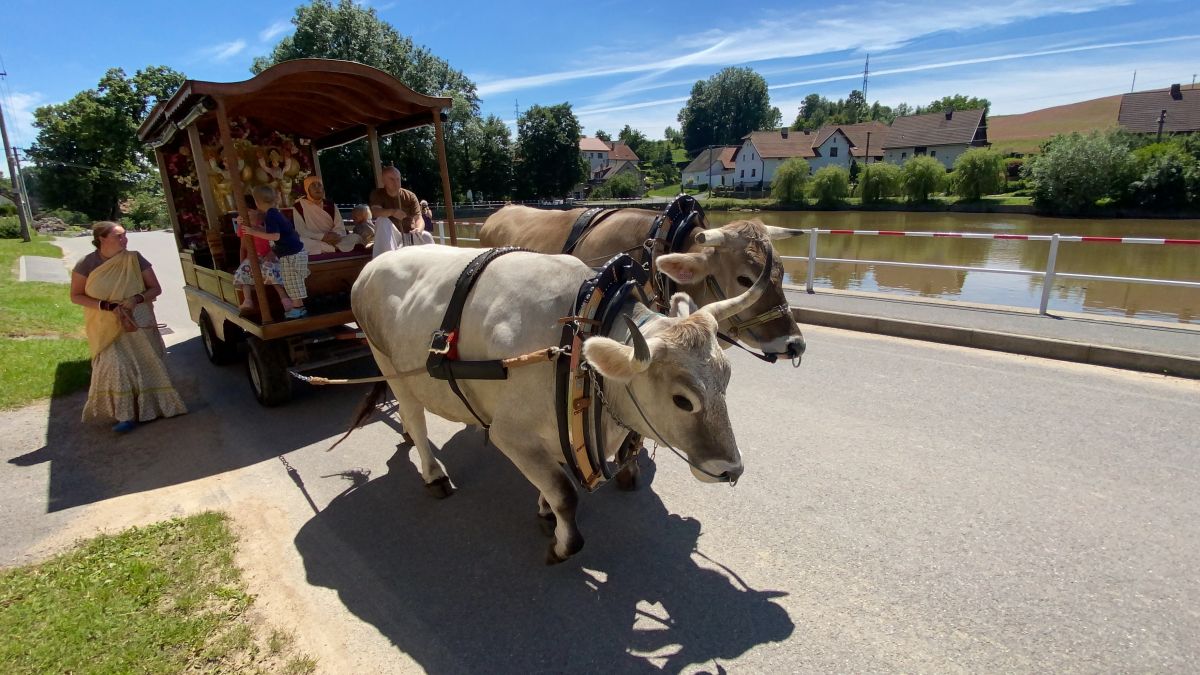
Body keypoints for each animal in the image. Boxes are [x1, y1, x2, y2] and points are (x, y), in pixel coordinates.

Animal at [351, 245, 772, 563]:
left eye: (727, 377)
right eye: (682, 400)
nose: (731, 469)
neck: (573, 338)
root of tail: (374, 263)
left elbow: (551, 484)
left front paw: (544, 511)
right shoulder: (511, 435)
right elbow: (565, 494)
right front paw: (563, 546)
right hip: (392, 369)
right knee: (415, 419)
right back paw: (434, 474)